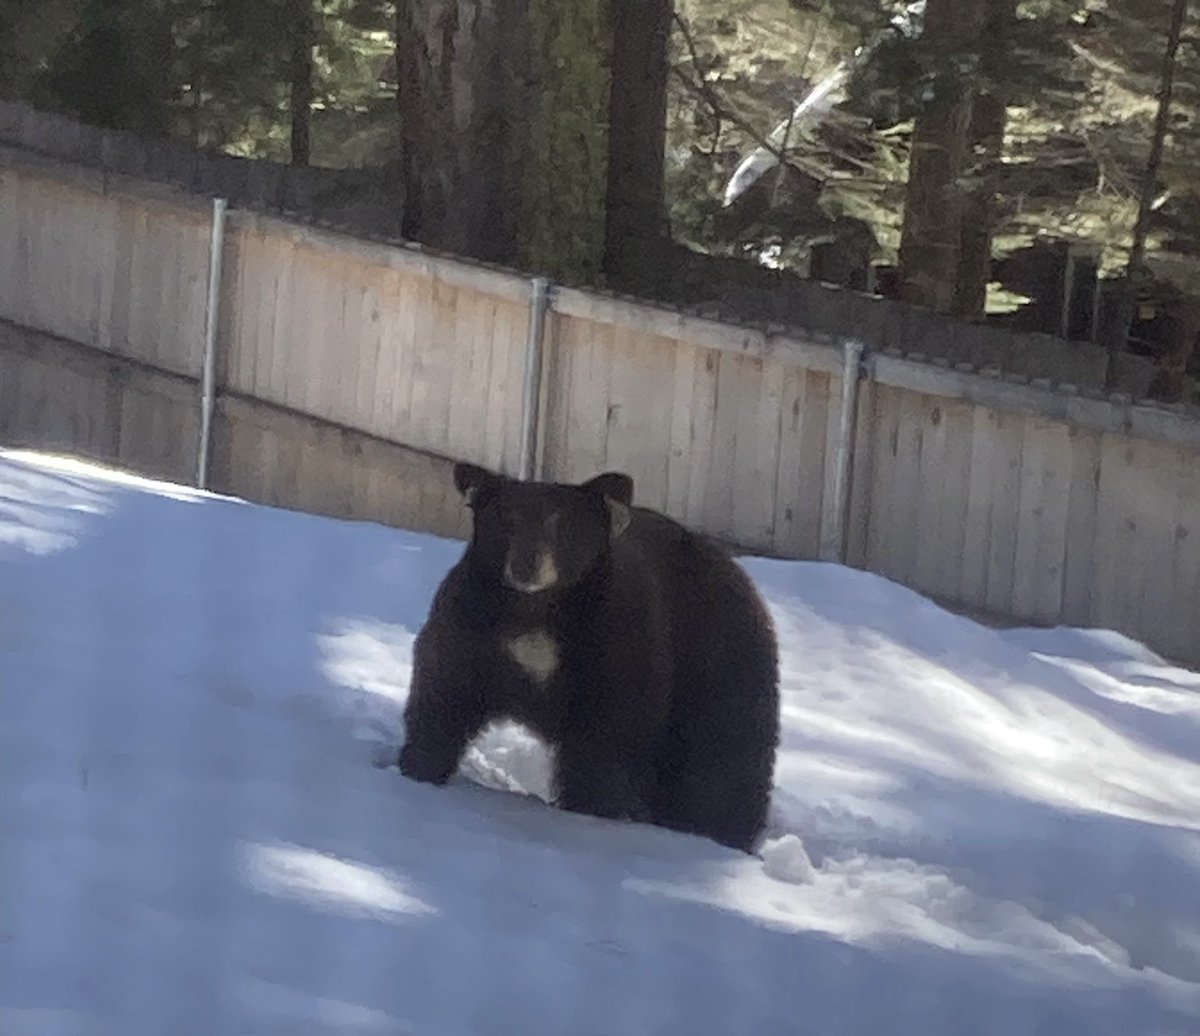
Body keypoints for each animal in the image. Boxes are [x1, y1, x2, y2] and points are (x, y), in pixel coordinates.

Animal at [398, 465, 782, 854]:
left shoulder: (613, 644)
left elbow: (609, 730)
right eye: (508, 517)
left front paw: (591, 809)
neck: (537, 611)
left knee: (723, 758)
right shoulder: (473, 625)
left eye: (558, 520)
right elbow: (446, 689)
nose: (526, 565)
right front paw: (418, 766)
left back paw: (718, 830)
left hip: (716, 660)